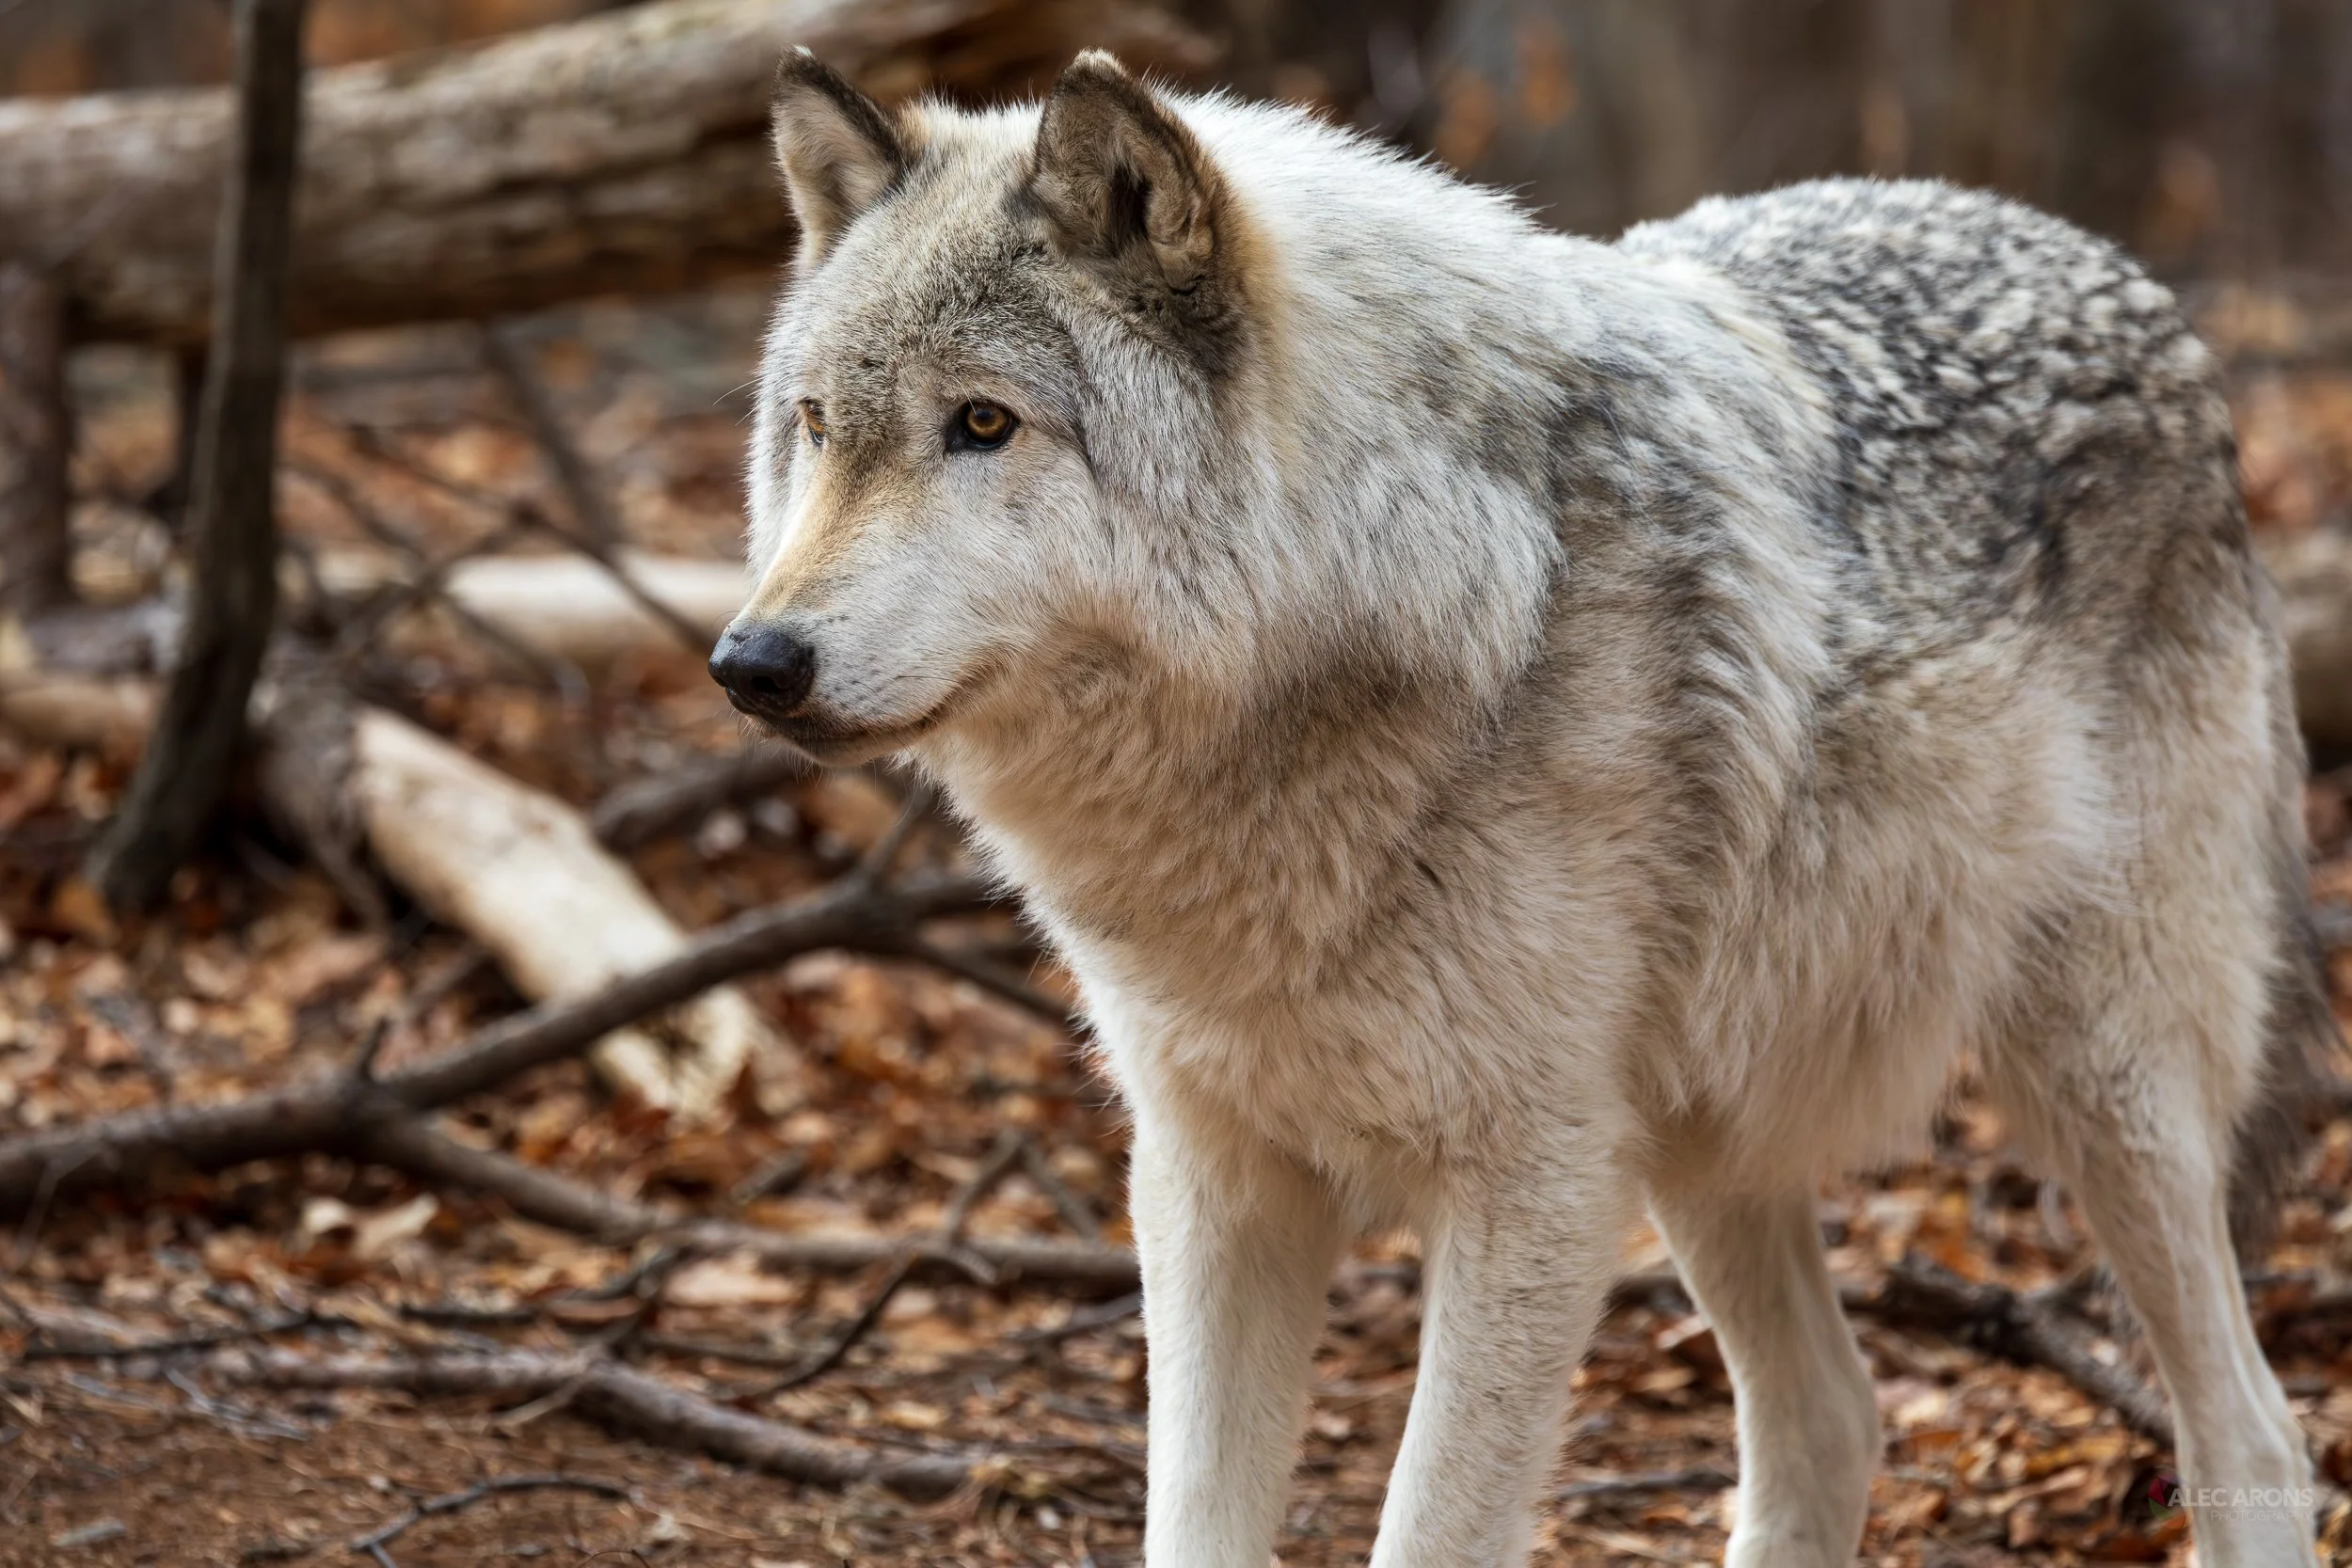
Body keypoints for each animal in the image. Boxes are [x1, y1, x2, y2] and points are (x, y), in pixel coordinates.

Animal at [710, 48, 2328, 1567]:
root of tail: (2114, 267)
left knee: (2254, 1426)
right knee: (1832, 1415)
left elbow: (1428, 1523)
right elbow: (1195, 1517)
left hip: (2104, 1090)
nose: (751, 663)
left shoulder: (1527, 1187)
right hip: (1701, 1142)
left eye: (984, 422)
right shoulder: (1210, 1177)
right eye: (817, 426)